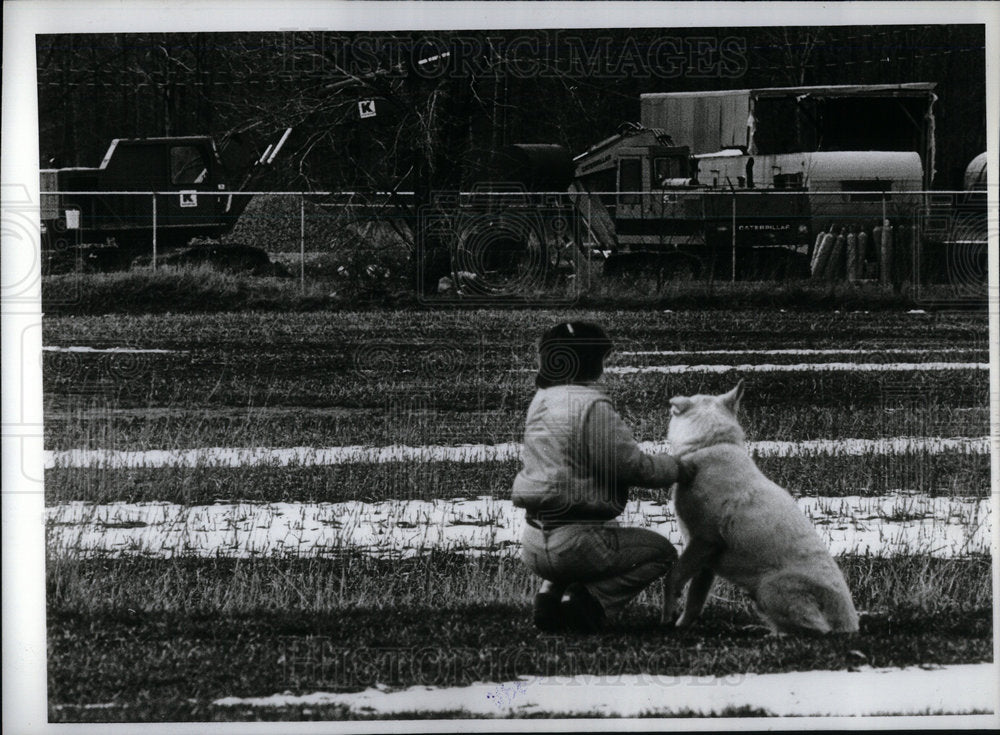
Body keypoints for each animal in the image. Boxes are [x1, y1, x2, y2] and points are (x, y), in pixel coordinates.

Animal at [664, 382, 860, 636]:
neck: (712, 444)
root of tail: (849, 624)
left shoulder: (704, 540)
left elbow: (673, 578)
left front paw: (667, 619)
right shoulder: (706, 559)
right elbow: (694, 600)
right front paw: (681, 626)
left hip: (768, 589)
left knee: (816, 630)